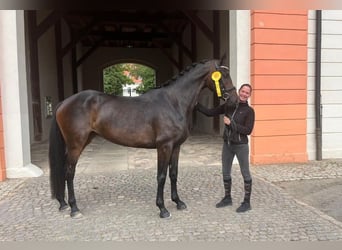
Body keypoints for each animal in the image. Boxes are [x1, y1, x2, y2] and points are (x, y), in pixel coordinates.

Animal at [49, 59, 238, 218]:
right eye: (224, 75)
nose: (235, 100)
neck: (174, 102)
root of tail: (64, 102)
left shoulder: (176, 147)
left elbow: (173, 174)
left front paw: (178, 202)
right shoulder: (164, 146)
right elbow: (161, 176)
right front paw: (162, 209)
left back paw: (63, 204)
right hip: (76, 145)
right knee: (69, 172)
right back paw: (74, 209)